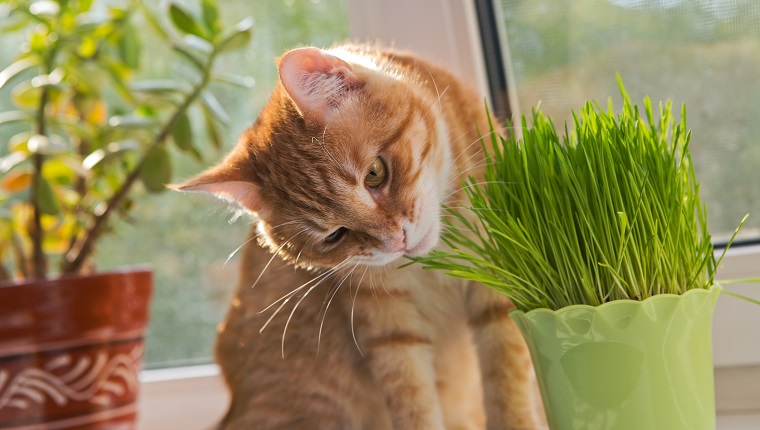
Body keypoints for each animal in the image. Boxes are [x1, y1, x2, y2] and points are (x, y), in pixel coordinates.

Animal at [178, 44, 548, 430]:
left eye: (375, 174)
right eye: (334, 236)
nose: (396, 241)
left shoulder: (500, 277)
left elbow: (507, 378)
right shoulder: (387, 326)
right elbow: (412, 398)